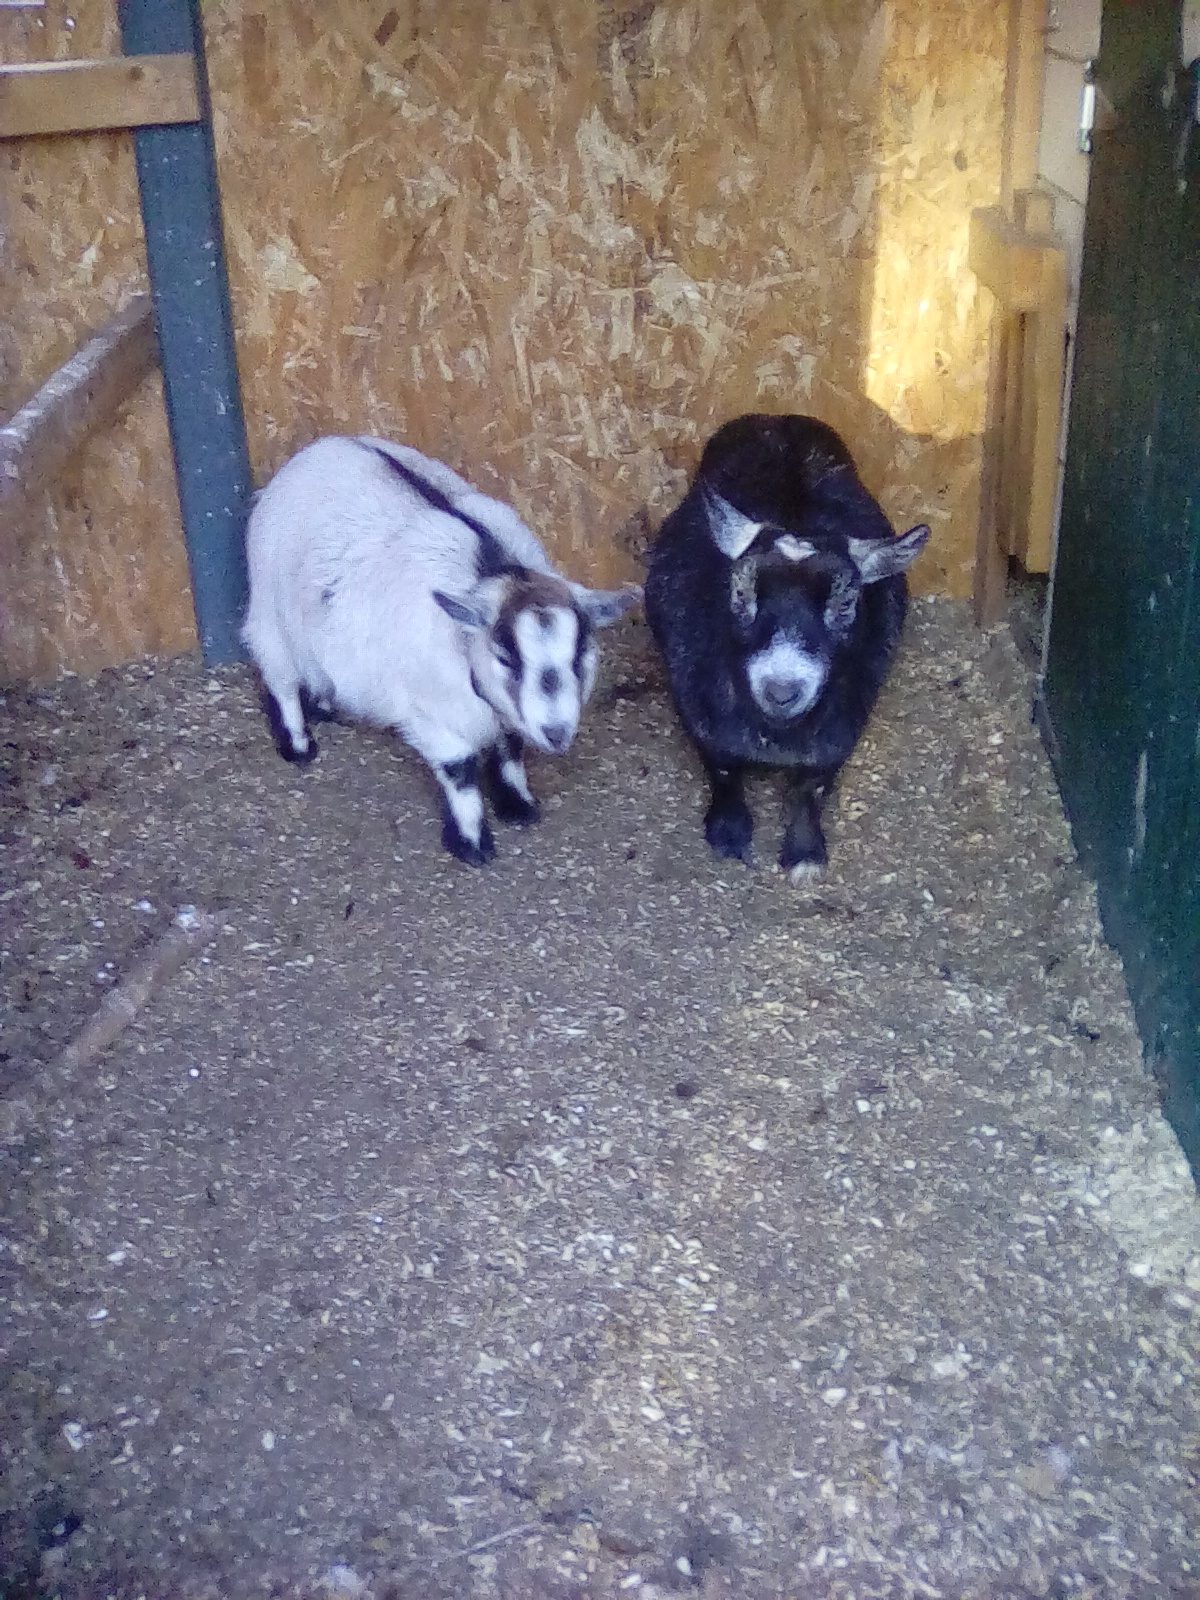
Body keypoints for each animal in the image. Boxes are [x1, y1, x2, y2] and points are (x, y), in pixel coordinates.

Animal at [242, 435, 640, 865]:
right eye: (506, 657)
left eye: (580, 654)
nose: (556, 733)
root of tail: (323, 446)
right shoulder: (431, 714)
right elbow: (459, 770)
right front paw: (472, 844)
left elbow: (510, 747)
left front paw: (518, 805)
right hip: (270, 613)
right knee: (280, 678)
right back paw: (299, 745)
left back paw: (325, 704)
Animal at [644, 413, 929, 882]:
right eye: (740, 593)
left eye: (846, 603)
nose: (781, 690)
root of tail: (778, 418)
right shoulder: (696, 705)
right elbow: (723, 769)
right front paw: (729, 835)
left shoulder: (842, 729)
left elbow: (810, 788)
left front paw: (805, 854)